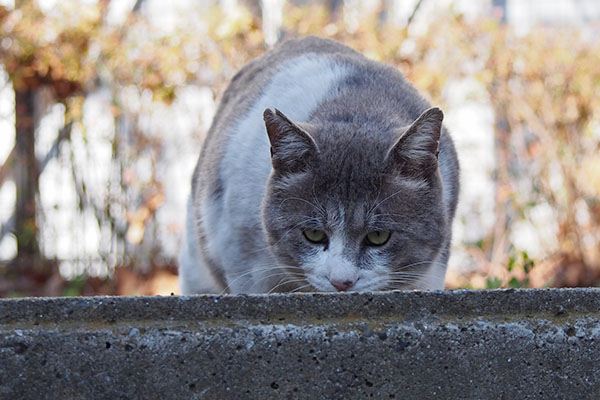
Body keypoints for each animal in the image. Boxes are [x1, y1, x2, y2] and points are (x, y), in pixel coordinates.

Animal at [178, 37, 460, 294]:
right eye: (313, 234)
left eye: (379, 236)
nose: (342, 282)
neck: (356, 105)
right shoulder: (243, 259)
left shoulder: (431, 270)